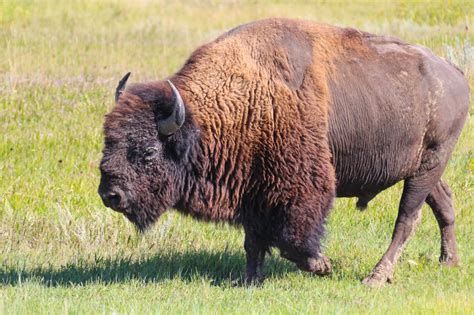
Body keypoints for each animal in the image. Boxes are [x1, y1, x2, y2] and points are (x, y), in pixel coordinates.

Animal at [98, 18, 468, 288]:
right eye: (108, 142)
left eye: (147, 152)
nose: (110, 195)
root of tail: (455, 73)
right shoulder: (251, 188)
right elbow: (253, 241)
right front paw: (249, 280)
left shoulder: (299, 188)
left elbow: (292, 238)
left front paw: (321, 265)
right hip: (422, 168)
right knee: (443, 202)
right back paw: (448, 261)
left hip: (429, 165)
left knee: (407, 218)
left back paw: (375, 278)